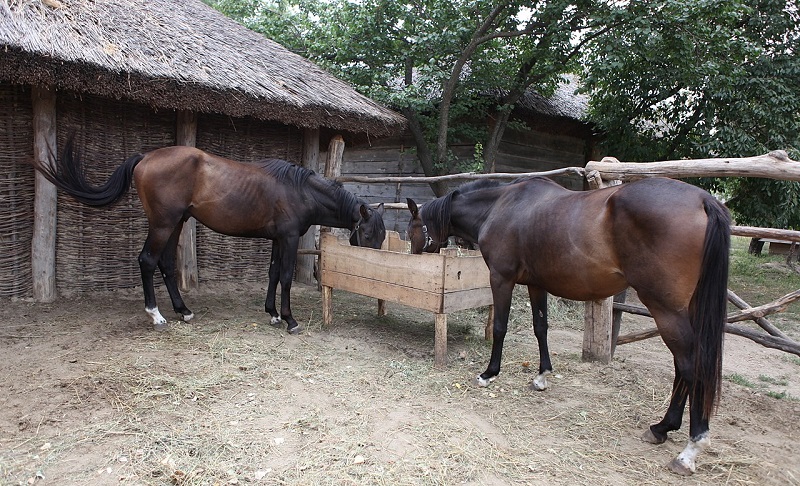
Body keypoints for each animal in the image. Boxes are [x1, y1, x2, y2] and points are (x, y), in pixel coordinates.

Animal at [36, 139, 386, 332]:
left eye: (381, 238)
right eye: (368, 233)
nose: (376, 267)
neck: (298, 190)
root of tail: (145, 158)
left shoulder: (276, 239)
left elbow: (273, 274)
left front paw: (272, 314)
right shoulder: (287, 239)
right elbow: (286, 276)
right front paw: (289, 320)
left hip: (176, 223)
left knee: (166, 264)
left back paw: (184, 311)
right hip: (163, 224)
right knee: (147, 260)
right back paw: (156, 315)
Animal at [410, 176, 728, 474]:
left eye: (413, 226)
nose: (413, 255)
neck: (500, 206)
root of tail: (703, 200)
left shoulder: (501, 278)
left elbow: (500, 328)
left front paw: (489, 373)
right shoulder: (536, 284)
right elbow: (541, 328)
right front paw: (541, 376)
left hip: (665, 309)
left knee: (690, 365)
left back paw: (690, 449)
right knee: (682, 367)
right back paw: (661, 428)